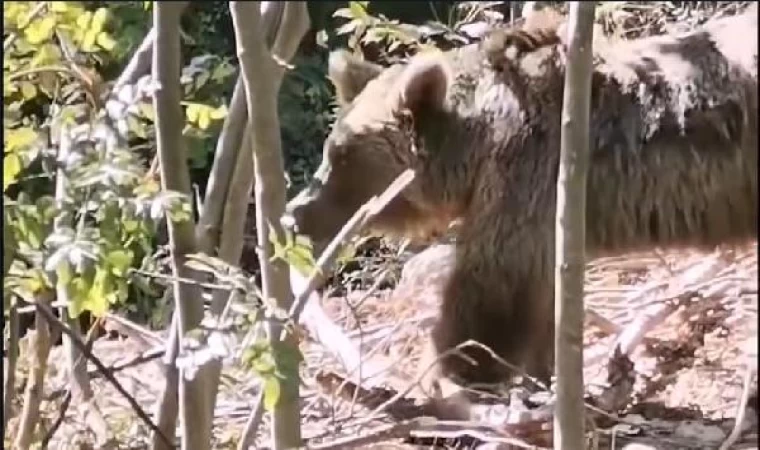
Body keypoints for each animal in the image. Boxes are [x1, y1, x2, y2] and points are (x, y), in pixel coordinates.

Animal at [286, 6, 760, 394]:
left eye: (341, 155)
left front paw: (444, 373)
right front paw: (543, 377)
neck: (479, 143)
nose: (296, 212)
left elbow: (490, 289)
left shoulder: (527, 176)